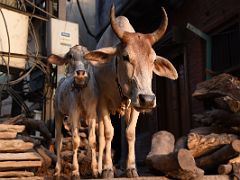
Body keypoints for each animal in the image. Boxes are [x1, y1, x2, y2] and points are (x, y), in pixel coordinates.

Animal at [82, 4, 178, 178]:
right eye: (126, 56)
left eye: (153, 59)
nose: (148, 99)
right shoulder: (103, 102)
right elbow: (108, 133)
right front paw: (107, 168)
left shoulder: (134, 104)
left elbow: (130, 133)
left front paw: (131, 168)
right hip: (96, 112)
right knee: (100, 137)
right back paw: (98, 169)